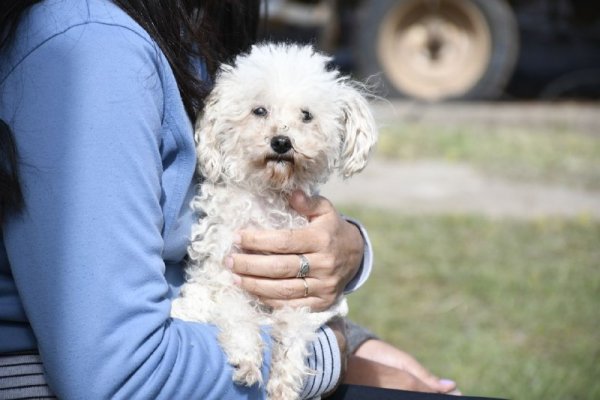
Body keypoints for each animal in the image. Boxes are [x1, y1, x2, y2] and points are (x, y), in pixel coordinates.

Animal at [170, 42, 376, 398]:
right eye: (259, 111)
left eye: (306, 115)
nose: (281, 141)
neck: (269, 199)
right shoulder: (224, 276)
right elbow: (237, 312)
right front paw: (246, 356)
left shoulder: (298, 297)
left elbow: (294, 333)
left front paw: (285, 381)